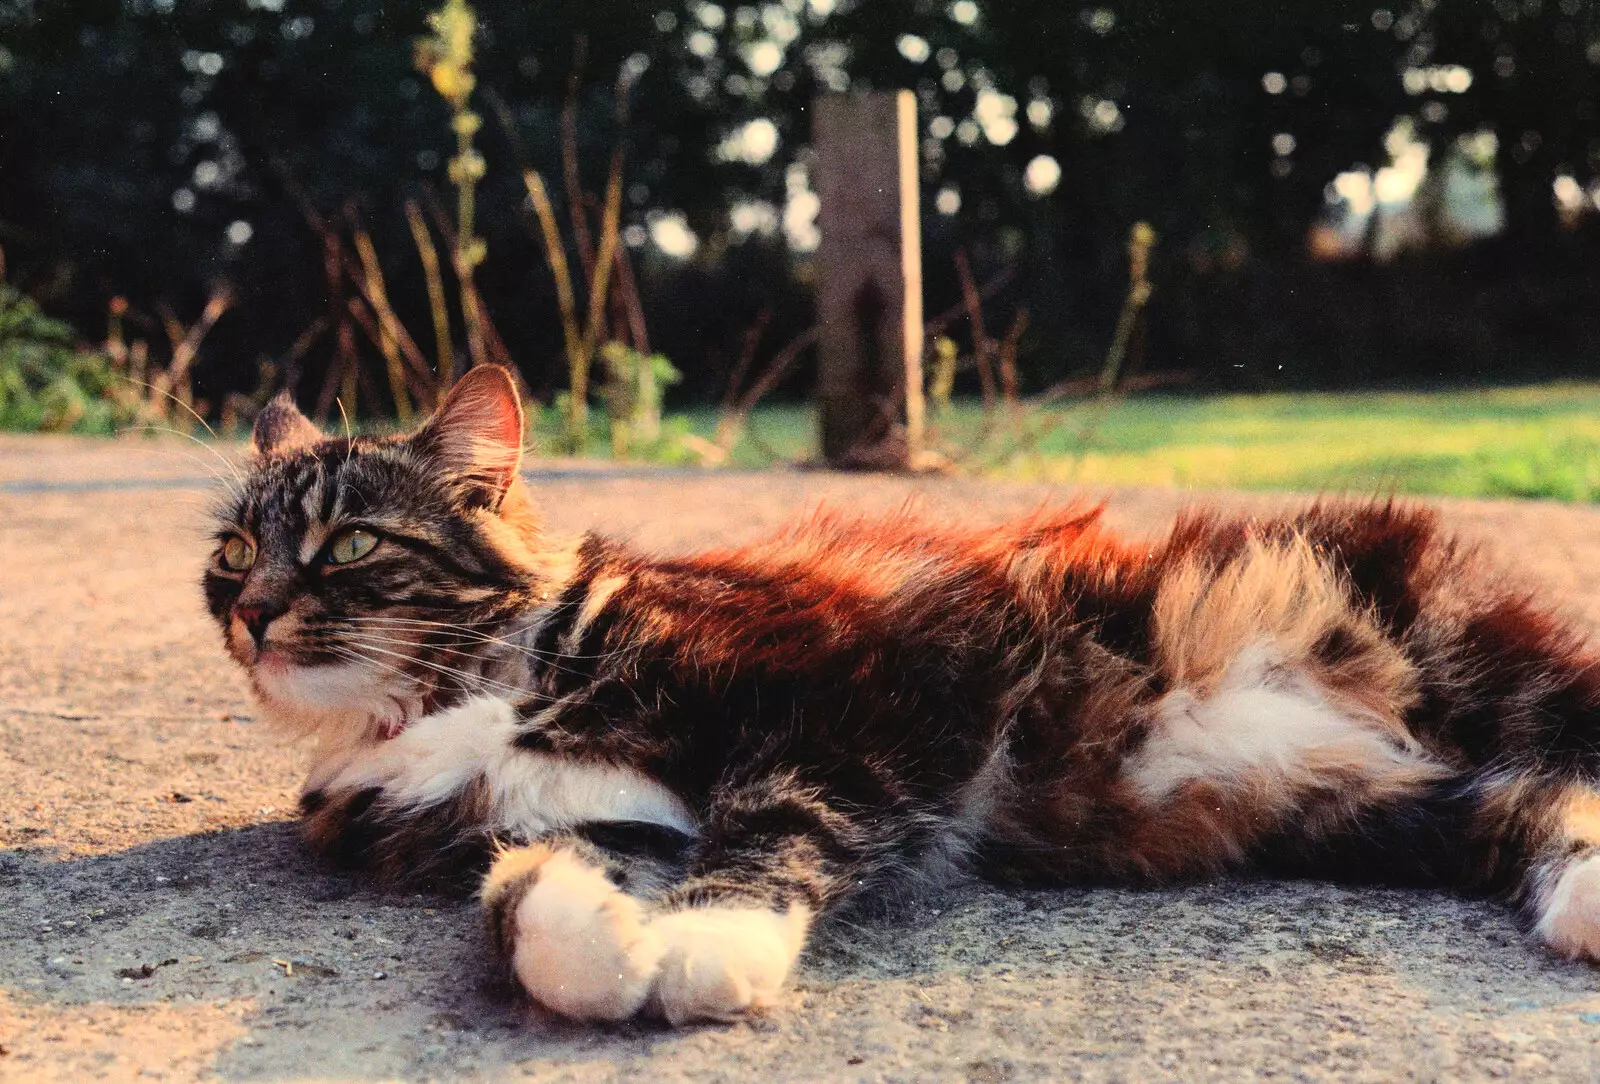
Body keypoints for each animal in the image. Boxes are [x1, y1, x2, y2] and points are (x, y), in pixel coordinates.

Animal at [203, 367, 1600, 1029]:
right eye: (232, 549)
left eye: (347, 543)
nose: (251, 612)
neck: (478, 680)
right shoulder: (592, 816)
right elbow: (522, 897)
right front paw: (602, 947)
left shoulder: (844, 690)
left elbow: (776, 822)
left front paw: (708, 947)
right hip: (1368, 805)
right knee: (1532, 805)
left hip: (1464, 658)